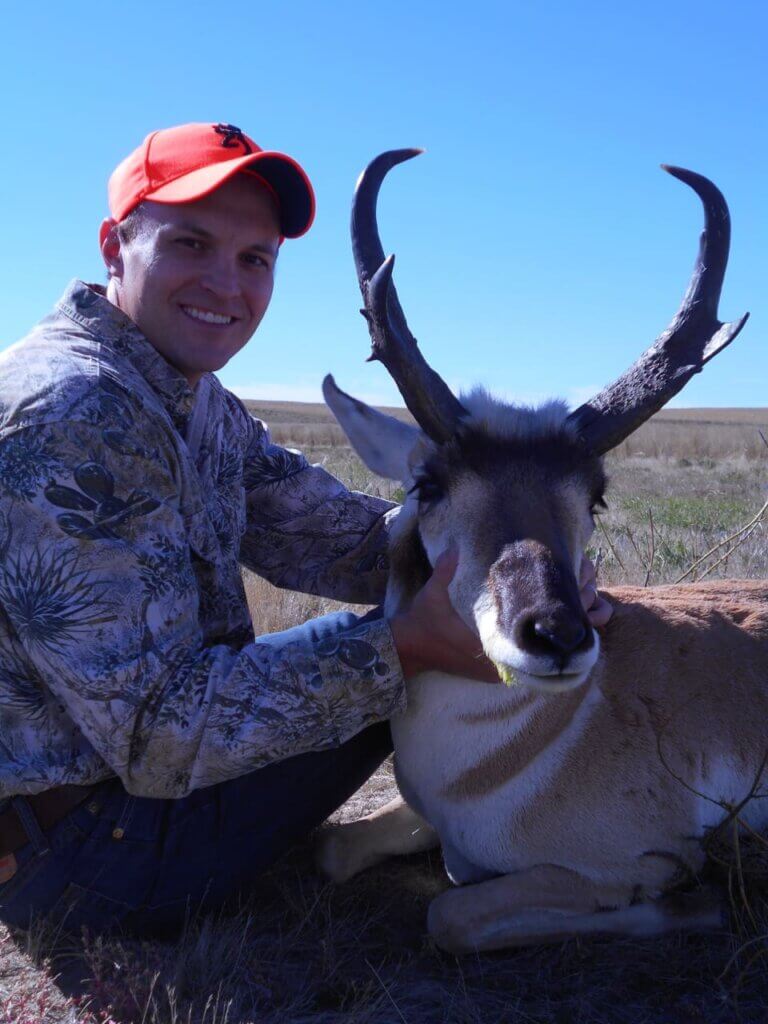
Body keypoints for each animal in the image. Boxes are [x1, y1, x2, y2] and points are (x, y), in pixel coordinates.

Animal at [316, 151, 768, 954]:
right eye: (428, 484)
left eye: (595, 496)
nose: (556, 635)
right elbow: (334, 846)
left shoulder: (613, 861)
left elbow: (450, 913)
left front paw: (685, 899)